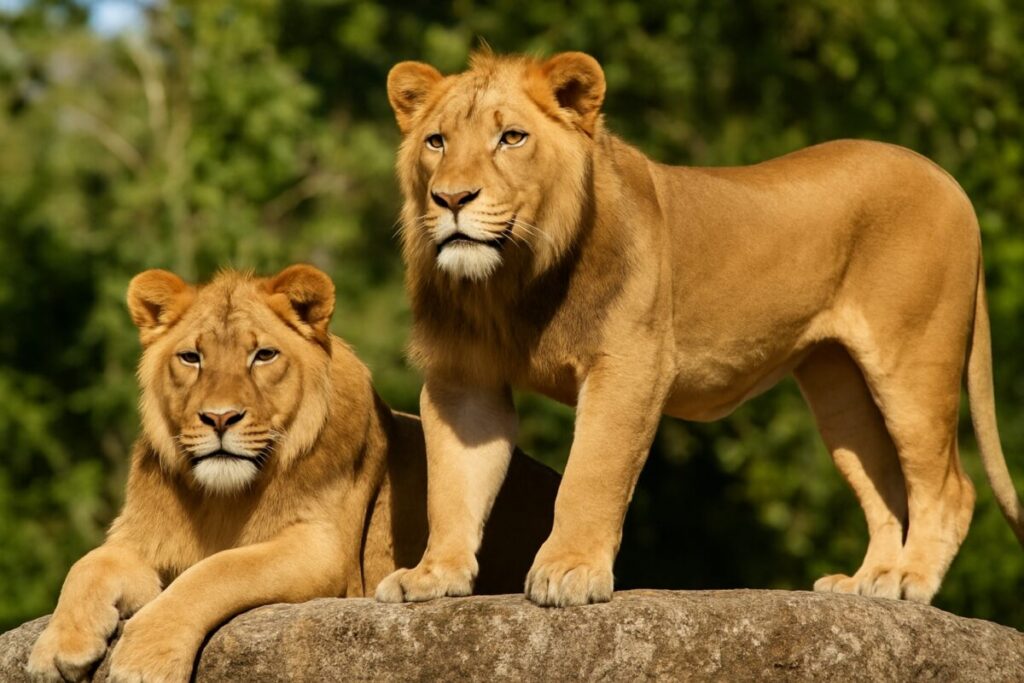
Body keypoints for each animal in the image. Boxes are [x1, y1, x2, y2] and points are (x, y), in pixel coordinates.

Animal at [26, 265, 558, 682]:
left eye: (263, 355)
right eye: (191, 357)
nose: (220, 418)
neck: (221, 500)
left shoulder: (322, 551)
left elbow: (216, 570)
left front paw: (145, 656)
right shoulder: (141, 538)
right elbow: (88, 563)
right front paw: (57, 647)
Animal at [374, 50, 1024, 608]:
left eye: (512, 137)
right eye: (436, 141)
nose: (451, 198)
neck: (511, 283)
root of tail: (947, 179)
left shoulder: (629, 366)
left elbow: (591, 473)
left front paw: (568, 571)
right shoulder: (463, 381)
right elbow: (452, 486)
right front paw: (431, 575)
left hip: (913, 358)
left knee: (950, 488)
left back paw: (911, 581)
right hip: (839, 383)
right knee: (885, 483)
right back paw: (872, 582)